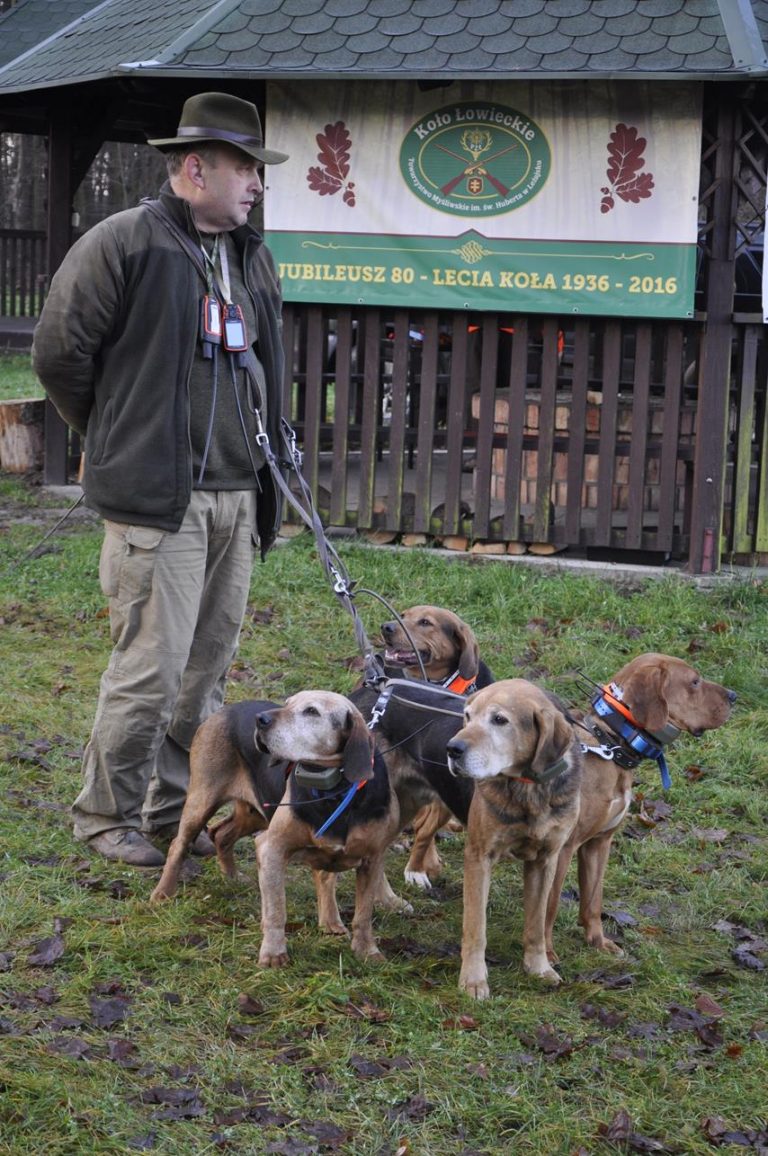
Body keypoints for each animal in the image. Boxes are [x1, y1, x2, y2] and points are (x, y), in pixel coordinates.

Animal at [150, 688, 402, 961]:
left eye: (311, 711)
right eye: (288, 703)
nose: (260, 720)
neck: (333, 792)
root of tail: (226, 709)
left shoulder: (372, 860)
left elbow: (363, 914)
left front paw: (367, 951)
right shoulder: (271, 848)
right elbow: (276, 910)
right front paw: (273, 954)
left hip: (256, 811)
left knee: (221, 833)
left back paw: (233, 877)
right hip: (202, 800)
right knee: (179, 844)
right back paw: (163, 893)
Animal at [446, 656, 735, 998]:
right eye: (694, 682)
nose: (734, 696)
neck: (608, 744)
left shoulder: (599, 843)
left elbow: (593, 901)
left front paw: (597, 942)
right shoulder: (562, 850)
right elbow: (549, 908)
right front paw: (549, 954)